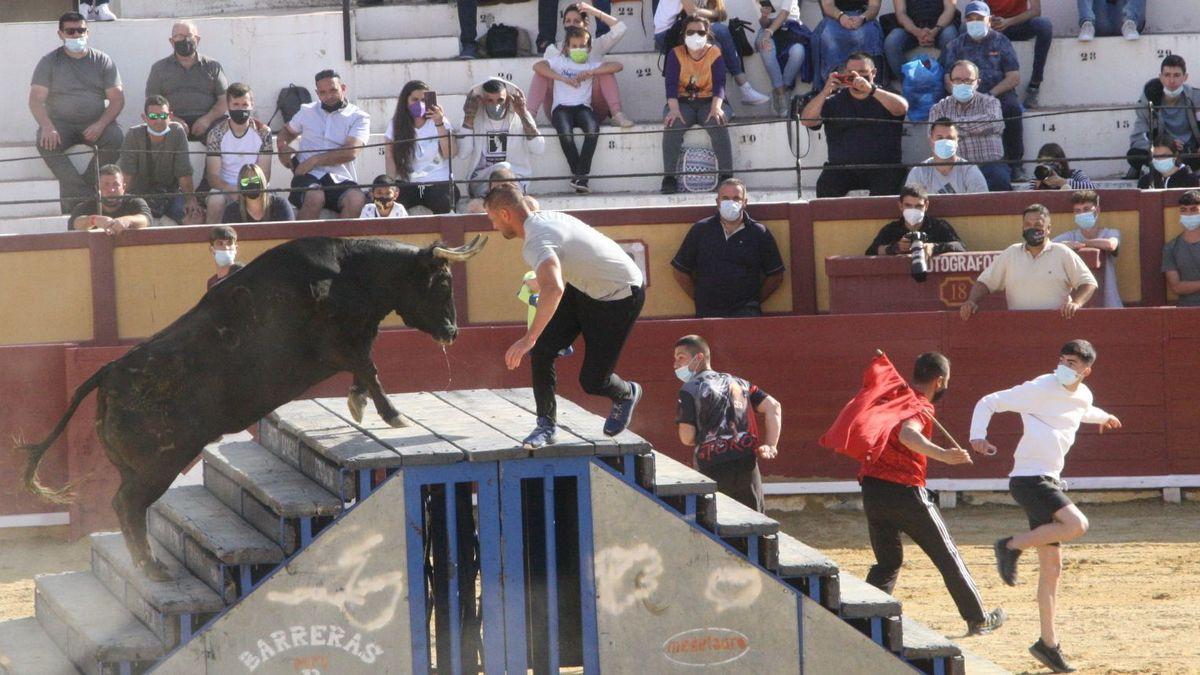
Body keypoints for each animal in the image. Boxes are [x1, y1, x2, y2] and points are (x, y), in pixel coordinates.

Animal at [19, 234, 487, 576]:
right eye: (442, 283)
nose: (453, 332)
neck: (350, 272)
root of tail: (108, 372)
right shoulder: (341, 345)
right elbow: (369, 369)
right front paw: (393, 415)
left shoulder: (352, 344)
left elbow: (366, 373)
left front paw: (359, 405)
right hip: (159, 465)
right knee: (128, 507)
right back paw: (152, 568)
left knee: (125, 506)